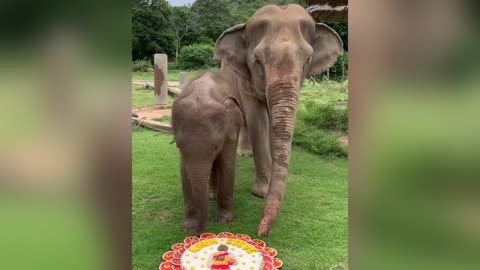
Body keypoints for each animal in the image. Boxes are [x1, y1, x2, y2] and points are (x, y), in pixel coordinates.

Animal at [172, 71, 244, 234]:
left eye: (216, 146)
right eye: (178, 145)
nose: (197, 233)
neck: (203, 92)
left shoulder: (231, 130)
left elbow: (227, 164)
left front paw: (225, 220)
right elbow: (184, 172)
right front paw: (188, 227)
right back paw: (211, 195)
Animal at [215, 4, 344, 236]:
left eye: (308, 60)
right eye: (257, 61)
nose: (261, 231)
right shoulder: (246, 78)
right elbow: (257, 118)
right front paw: (261, 192)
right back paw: (244, 154)